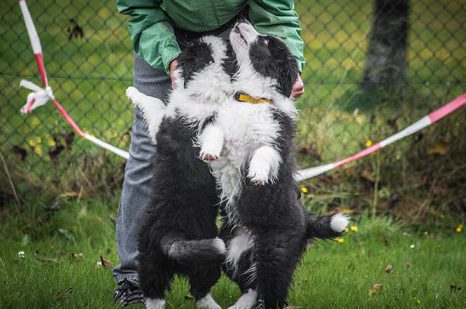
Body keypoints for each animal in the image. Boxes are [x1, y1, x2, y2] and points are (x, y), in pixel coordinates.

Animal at [127, 35, 235, 306]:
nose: (202, 37)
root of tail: (171, 236)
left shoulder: (162, 124)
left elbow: (154, 103)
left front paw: (131, 91)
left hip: (172, 257)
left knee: (191, 294)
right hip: (166, 259)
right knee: (177, 293)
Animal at [198, 22, 348, 308]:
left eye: (267, 41)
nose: (241, 22)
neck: (252, 98)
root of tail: (307, 220)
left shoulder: (276, 141)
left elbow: (263, 153)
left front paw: (256, 174)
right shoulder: (220, 123)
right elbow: (214, 132)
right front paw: (208, 151)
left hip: (275, 253)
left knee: (273, 292)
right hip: (230, 246)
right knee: (251, 285)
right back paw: (238, 306)